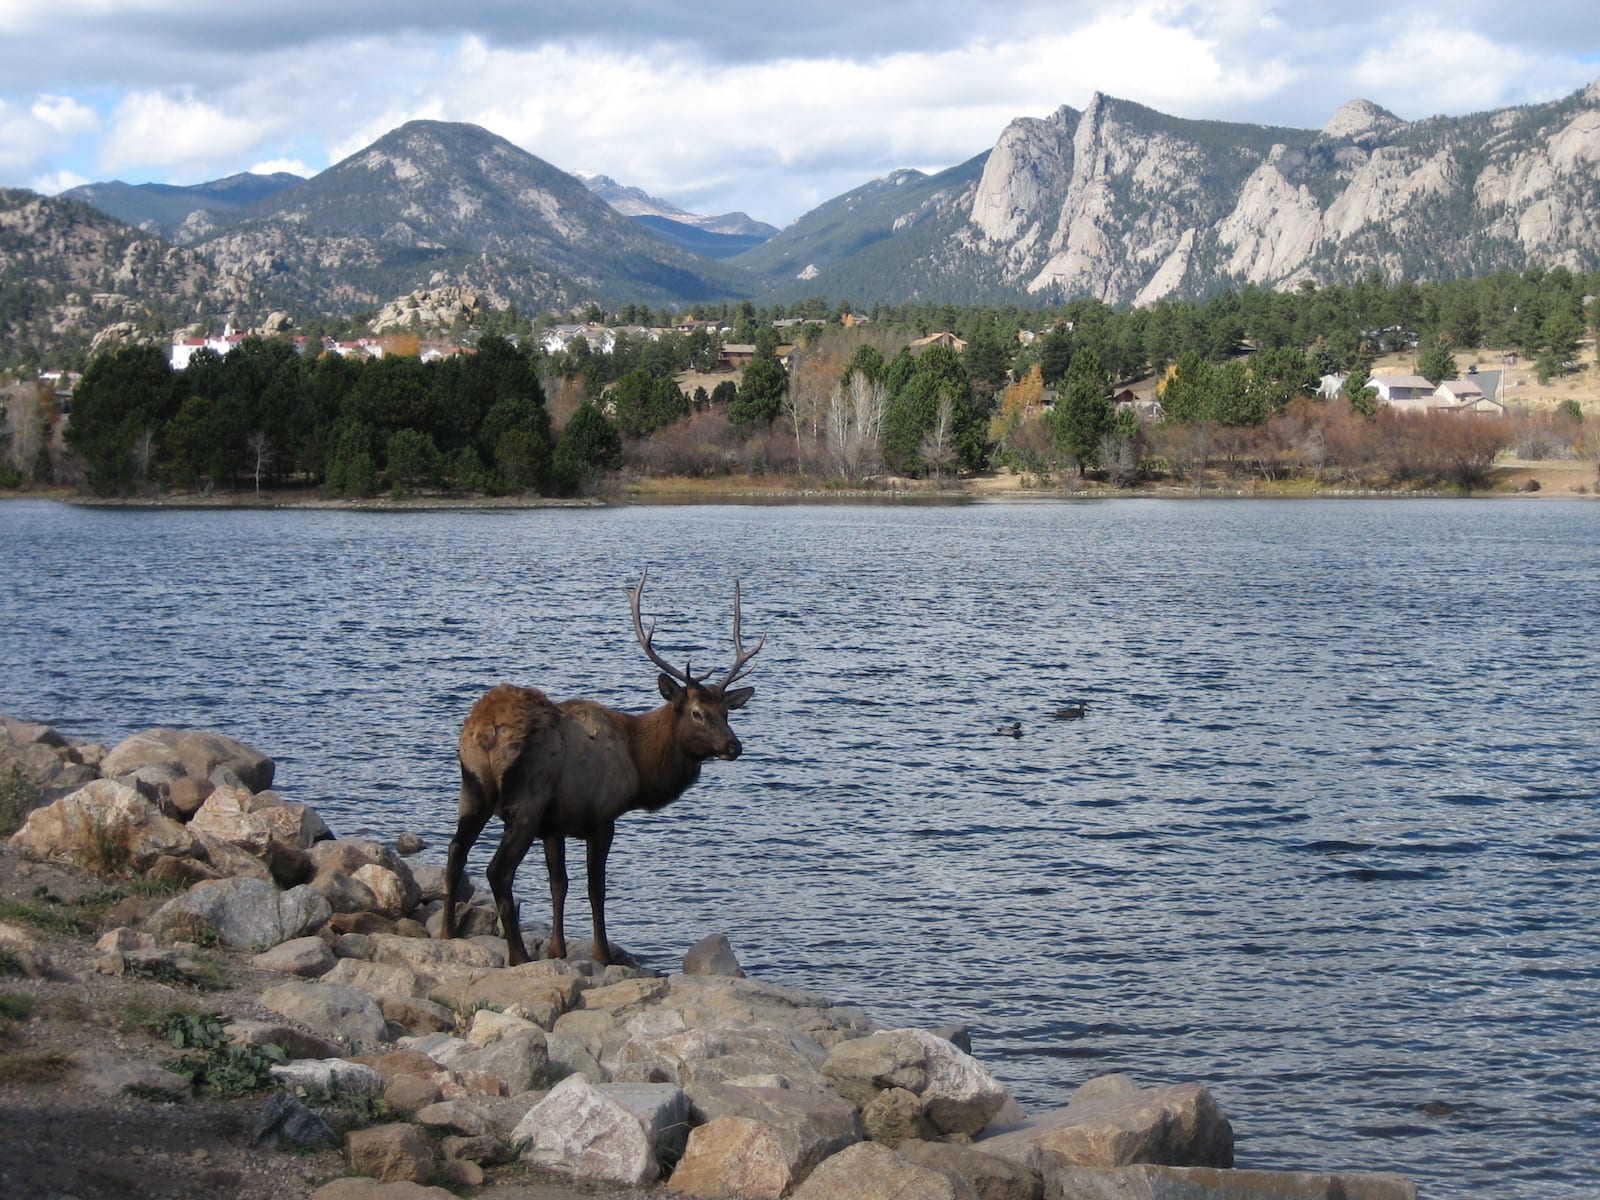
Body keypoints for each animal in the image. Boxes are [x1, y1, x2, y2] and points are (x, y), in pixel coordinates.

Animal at [438, 569, 761, 972]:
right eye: (697, 713)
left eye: (728, 712)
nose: (734, 746)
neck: (638, 764)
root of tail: (485, 730)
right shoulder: (601, 816)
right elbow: (596, 888)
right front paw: (602, 954)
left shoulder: (554, 824)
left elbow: (558, 883)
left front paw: (558, 949)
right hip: (526, 801)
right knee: (497, 870)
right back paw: (518, 954)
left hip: (472, 789)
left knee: (455, 852)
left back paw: (446, 932)